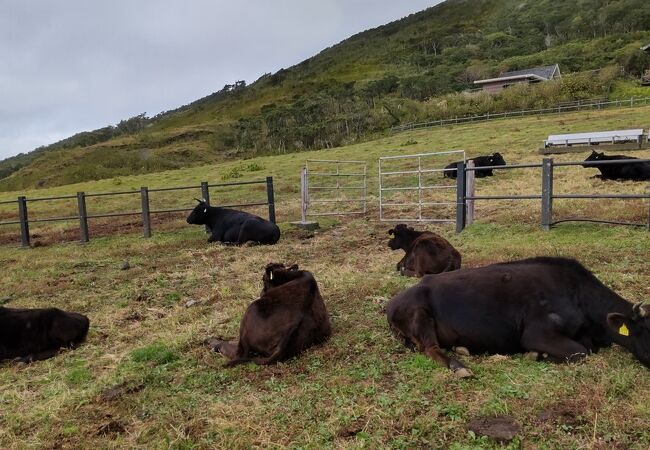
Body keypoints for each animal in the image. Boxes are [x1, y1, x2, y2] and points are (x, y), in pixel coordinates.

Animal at [384, 256, 648, 376]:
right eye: (649, 334)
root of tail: (391, 302)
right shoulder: (536, 333)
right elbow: (580, 353)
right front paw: (536, 355)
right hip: (420, 315)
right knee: (431, 348)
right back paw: (460, 367)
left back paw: (462, 350)